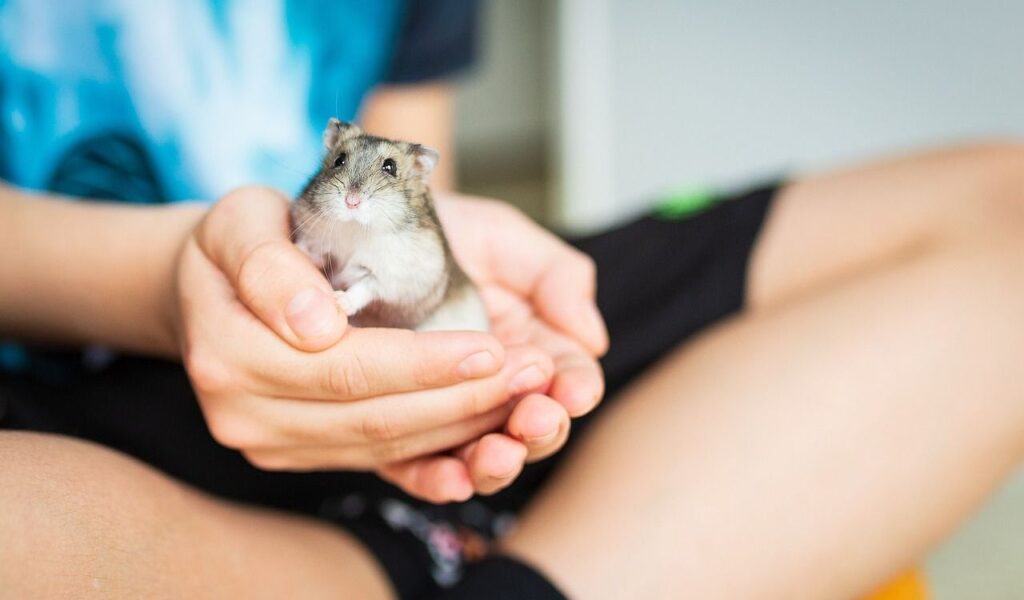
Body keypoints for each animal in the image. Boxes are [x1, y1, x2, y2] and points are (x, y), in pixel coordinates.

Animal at [290, 118, 489, 332]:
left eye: (390, 167)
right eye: (339, 160)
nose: (351, 202)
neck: (355, 227)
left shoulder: (392, 276)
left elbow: (365, 287)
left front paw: (339, 301)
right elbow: (312, 249)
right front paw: (303, 252)